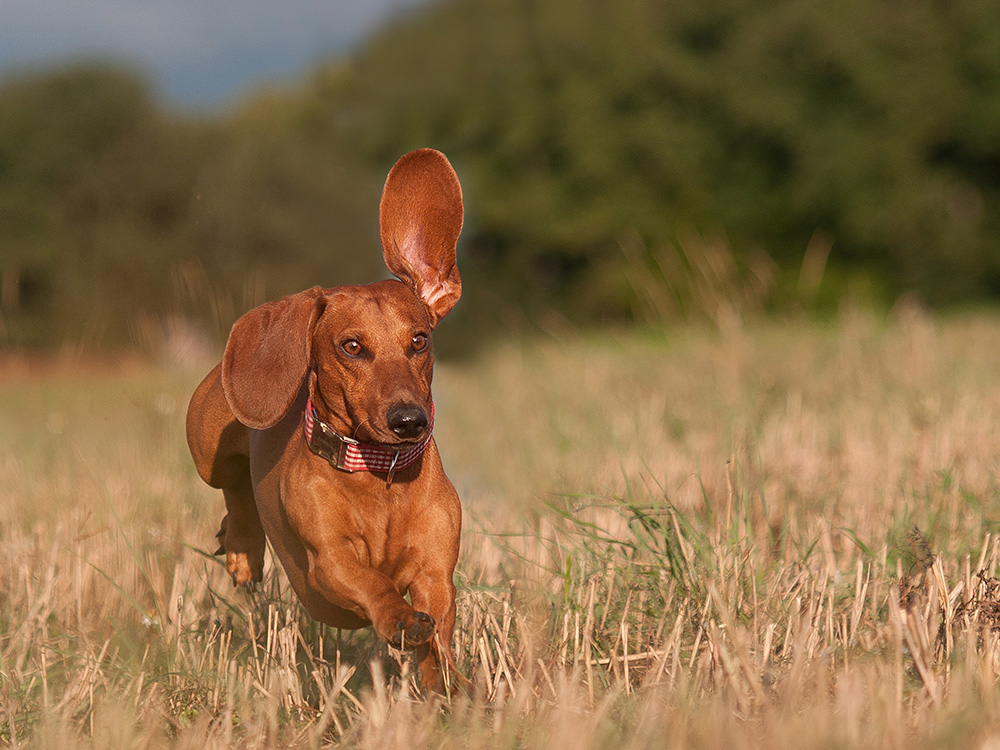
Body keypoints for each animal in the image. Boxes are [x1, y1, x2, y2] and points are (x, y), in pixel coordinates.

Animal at [187, 150, 464, 696]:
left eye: (419, 340)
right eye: (351, 346)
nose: (409, 420)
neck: (379, 474)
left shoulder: (436, 572)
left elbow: (438, 628)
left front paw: (445, 680)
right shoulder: (330, 561)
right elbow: (372, 582)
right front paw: (399, 617)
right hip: (206, 447)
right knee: (233, 486)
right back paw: (243, 549)